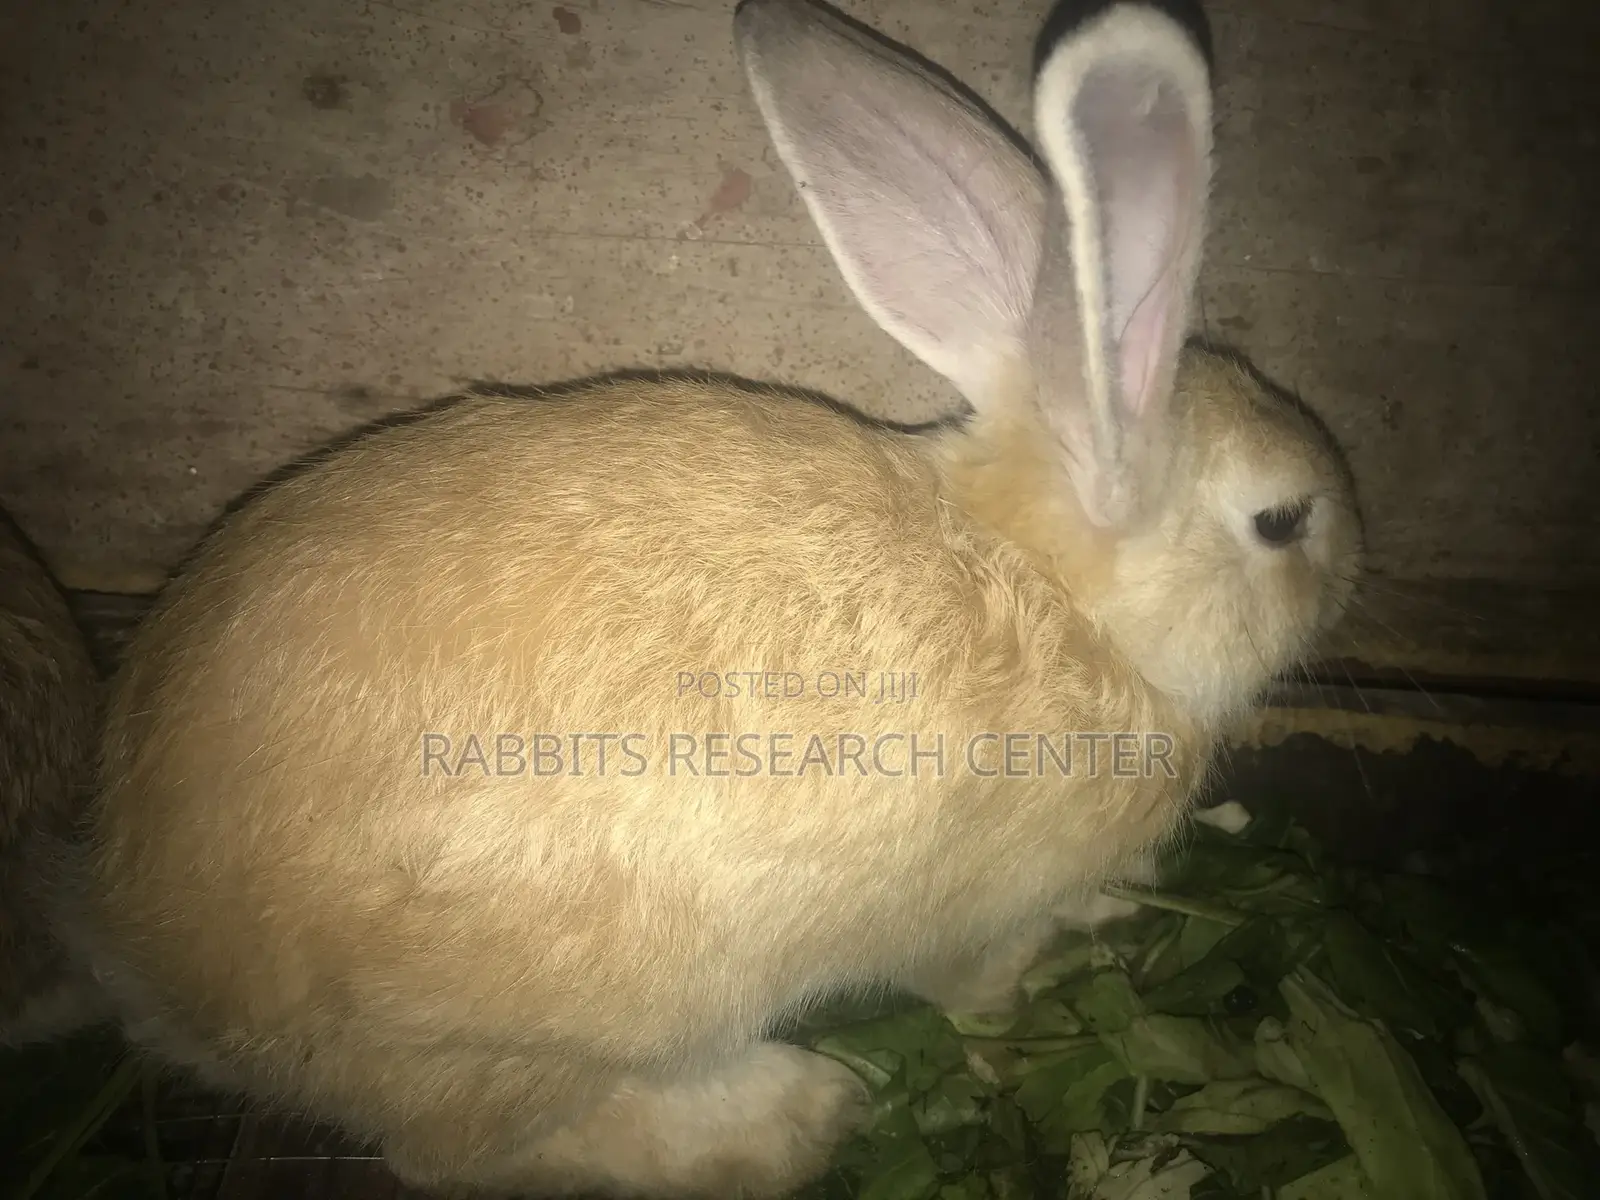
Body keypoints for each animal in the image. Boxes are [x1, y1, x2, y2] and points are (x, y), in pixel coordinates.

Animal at [62, 0, 1362, 1195]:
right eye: (1279, 522)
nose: (1356, 544)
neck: (1060, 596)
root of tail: (144, 953)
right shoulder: (970, 920)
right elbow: (976, 988)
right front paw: (1056, 971)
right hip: (529, 1039)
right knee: (464, 1152)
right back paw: (794, 1118)